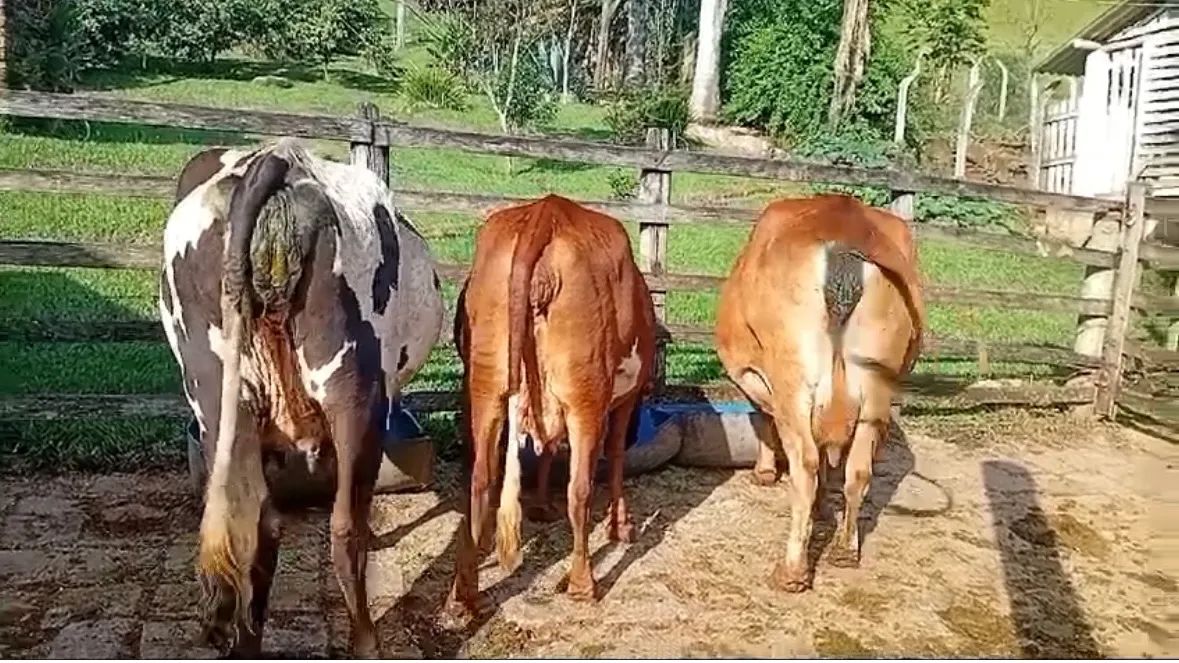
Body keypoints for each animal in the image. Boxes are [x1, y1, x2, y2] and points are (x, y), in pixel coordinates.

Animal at [158, 138, 445, 656]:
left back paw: (247, 644)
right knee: (345, 527)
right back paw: (365, 643)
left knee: (258, 524)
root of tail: (277, 159)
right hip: (355, 394)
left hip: (214, 396)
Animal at [447, 194, 657, 612]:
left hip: (487, 382)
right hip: (584, 392)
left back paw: (465, 594)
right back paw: (582, 583)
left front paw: (542, 506)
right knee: (579, 490)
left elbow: (545, 448)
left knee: (480, 478)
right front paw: (621, 525)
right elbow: (615, 458)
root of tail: (546, 213)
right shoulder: (621, 402)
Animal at [714, 194, 925, 592]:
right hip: (876, 391)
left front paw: (764, 472)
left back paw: (791, 572)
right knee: (858, 471)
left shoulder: (753, 374)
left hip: (794, 383)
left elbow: (762, 421)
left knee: (806, 464)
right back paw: (844, 550)